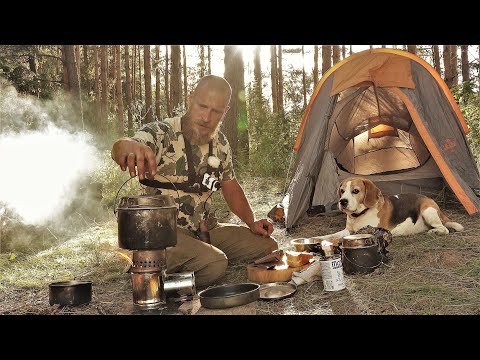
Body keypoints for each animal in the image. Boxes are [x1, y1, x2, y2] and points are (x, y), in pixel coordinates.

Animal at [314, 176, 464, 246]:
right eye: (342, 190)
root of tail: (430, 199)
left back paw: (434, 232)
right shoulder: (348, 230)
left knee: (444, 228)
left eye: (355, 191)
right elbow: (331, 235)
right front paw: (316, 238)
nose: (342, 201)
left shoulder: (365, 231)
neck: (360, 214)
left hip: (428, 211)